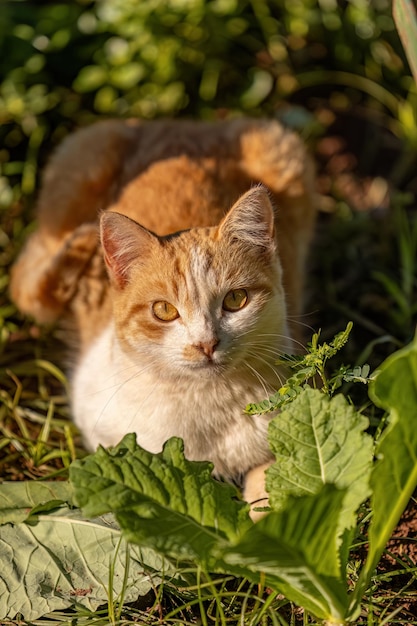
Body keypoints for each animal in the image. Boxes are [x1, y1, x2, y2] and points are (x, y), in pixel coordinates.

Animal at [10, 117, 316, 504]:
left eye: (235, 300)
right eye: (164, 310)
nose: (206, 344)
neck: (205, 407)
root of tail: (186, 123)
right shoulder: (102, 432)